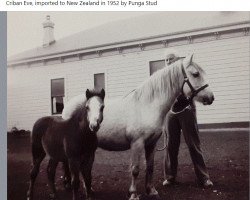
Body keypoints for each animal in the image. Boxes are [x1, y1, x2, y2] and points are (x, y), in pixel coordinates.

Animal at [62, 54, 213, 200]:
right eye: (195, 74)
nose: (211, 97)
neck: (146, 106)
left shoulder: (151, 143)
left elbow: (150, 167)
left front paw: (151, 191)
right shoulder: (137, 143)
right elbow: (135, 169)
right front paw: (133, 194)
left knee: (84, 168)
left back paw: (89, 189)